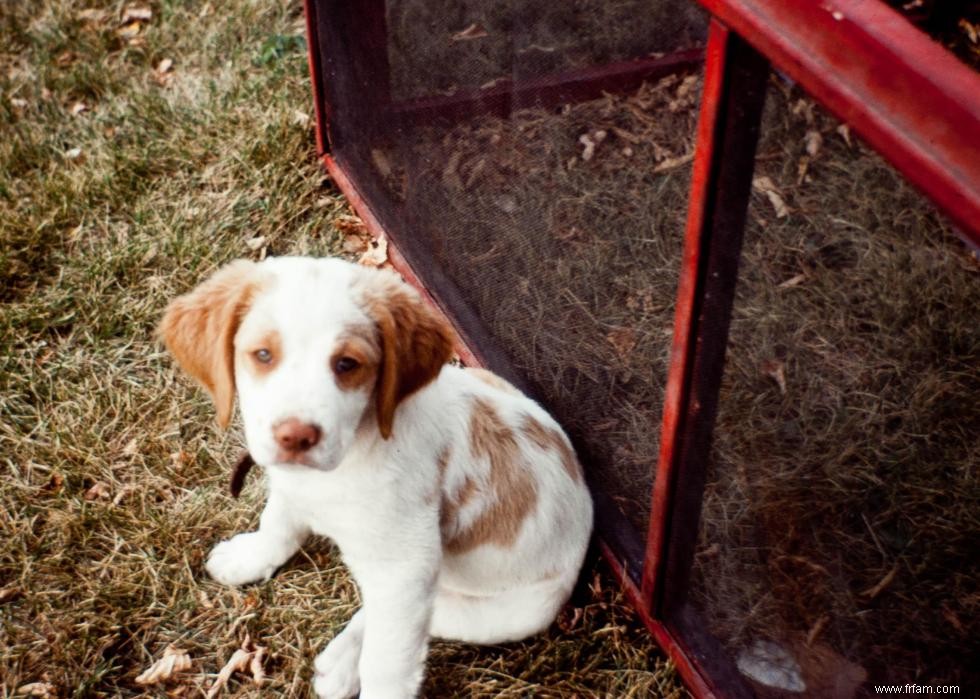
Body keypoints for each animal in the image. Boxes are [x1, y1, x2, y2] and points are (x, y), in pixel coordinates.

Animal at [158, 258, 592, 699]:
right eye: (263, 354)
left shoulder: (405, 568)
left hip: (508, 614)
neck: (349, 455)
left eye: (346, 364)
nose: (296, 437)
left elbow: (389, 662)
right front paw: (250, 558)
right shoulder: (293, 487)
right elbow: (277, 524)